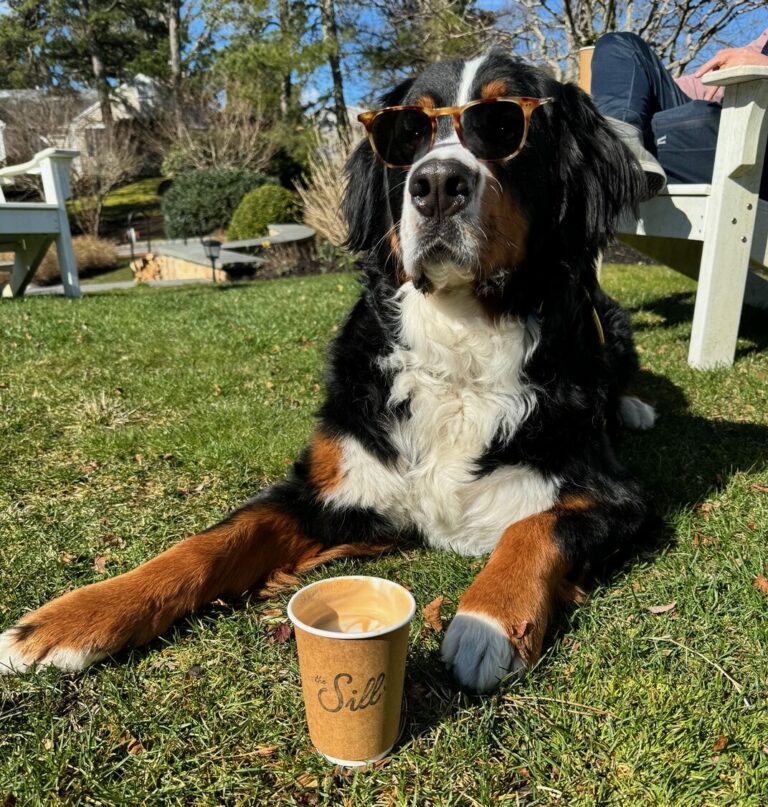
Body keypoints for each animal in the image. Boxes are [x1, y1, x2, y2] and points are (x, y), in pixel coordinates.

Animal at [3, 50, 656, 696]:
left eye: (503, 127)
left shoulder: (617, 497)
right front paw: (72, 618)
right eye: (407, 133)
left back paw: (634, 407)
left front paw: (488, 620)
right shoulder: (324, 486)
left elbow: (537, 528)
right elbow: (207, 543)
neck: (459, 341)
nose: (436, 184)